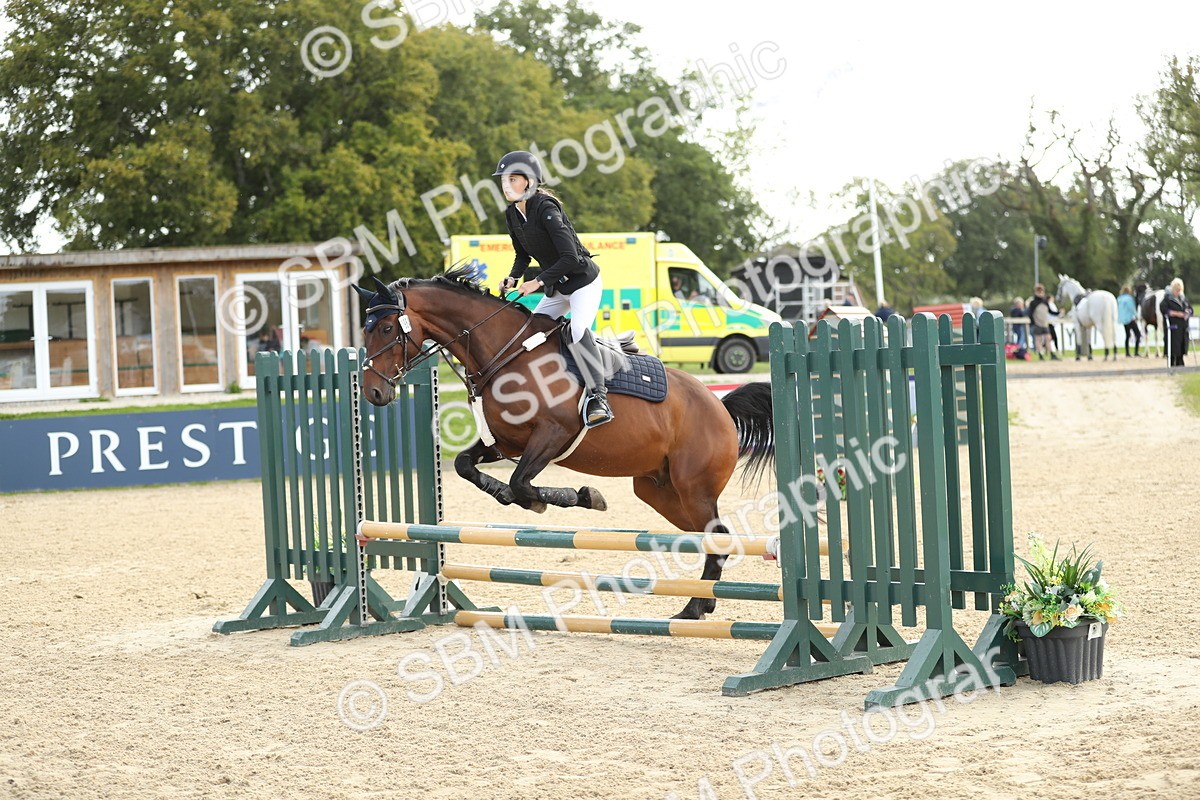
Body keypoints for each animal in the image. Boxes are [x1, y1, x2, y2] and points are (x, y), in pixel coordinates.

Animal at [353, 268, 775, 620]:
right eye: (365, 330)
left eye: (387, 328)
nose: (372, 392)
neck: (505, 354)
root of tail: (720, 407)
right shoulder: (506, 441)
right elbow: (467, 466)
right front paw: (508, 493)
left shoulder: (551, 435)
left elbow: (523, 483)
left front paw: (581, 496)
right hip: (661, 492)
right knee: (714, 537)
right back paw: (704, 601)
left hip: (693, 488)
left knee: (718, 537)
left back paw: (693, 608)